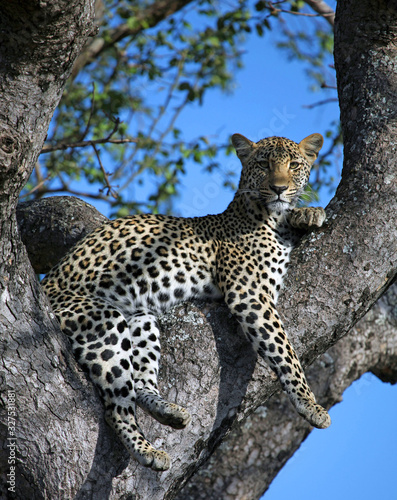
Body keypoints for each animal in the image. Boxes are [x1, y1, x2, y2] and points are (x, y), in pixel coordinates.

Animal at [41, 131, 330, 470]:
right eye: (262, 164)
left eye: (294, 165)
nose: (279, 188)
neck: (267, 217)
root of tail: (45, 286)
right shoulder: (251, 293)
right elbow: (286, 352)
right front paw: (310, 404)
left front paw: (309, 213)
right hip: (100, 319)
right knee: (117, 405)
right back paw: (147, 450)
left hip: (141, 319)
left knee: (140, 383)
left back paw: (170, 412)